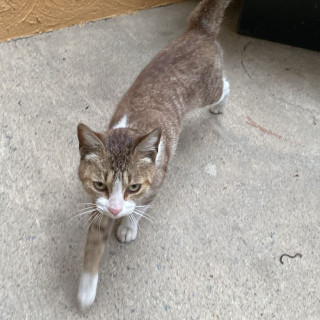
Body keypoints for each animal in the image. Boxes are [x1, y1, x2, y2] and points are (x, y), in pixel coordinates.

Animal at [77, 0, 232, 310]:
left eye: (134, 186)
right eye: (100, 184)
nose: (116, 210)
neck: (132, 128)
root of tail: (201, 30)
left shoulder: (156, 183)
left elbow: (140, 209)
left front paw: (128, 226)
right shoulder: (98, 204)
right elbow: (94, 243)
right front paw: (86, 289)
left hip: (209, 88)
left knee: (224, 85)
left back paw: (220, 106)